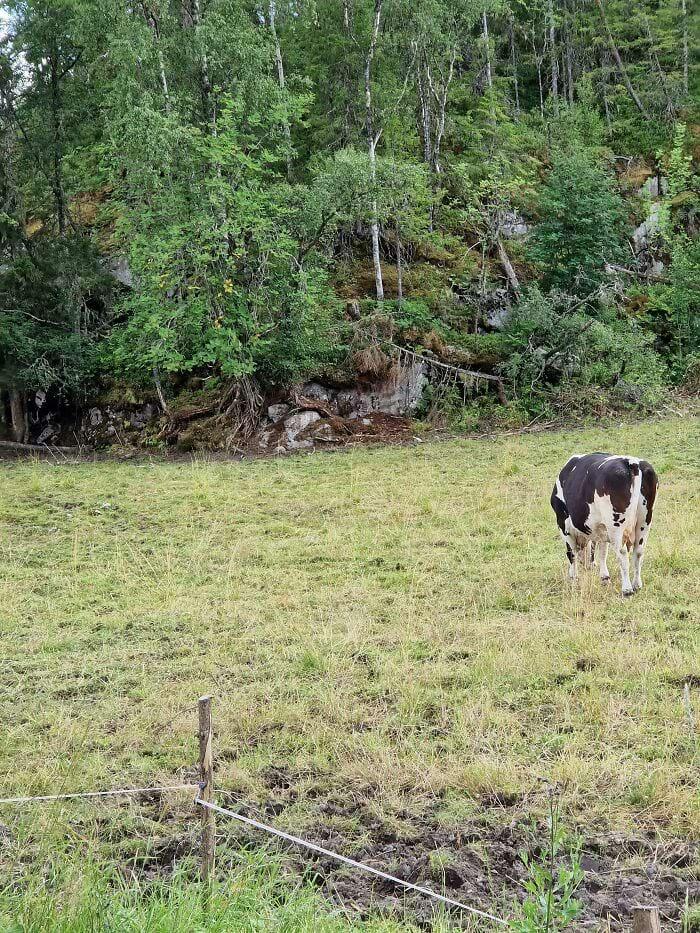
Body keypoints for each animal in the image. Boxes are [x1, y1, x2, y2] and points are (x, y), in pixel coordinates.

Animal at [552, 454, 656, 596]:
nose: (588, 566)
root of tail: (631, 462)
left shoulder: (563, 524)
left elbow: (571, 552)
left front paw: (573, 577)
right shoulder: (602, 528)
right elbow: (602, 551)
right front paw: (604, 577)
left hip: (616, 525)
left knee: (622, 553)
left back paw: (627, 589)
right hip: (644, 521)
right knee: (638, 552)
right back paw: (637, 585)